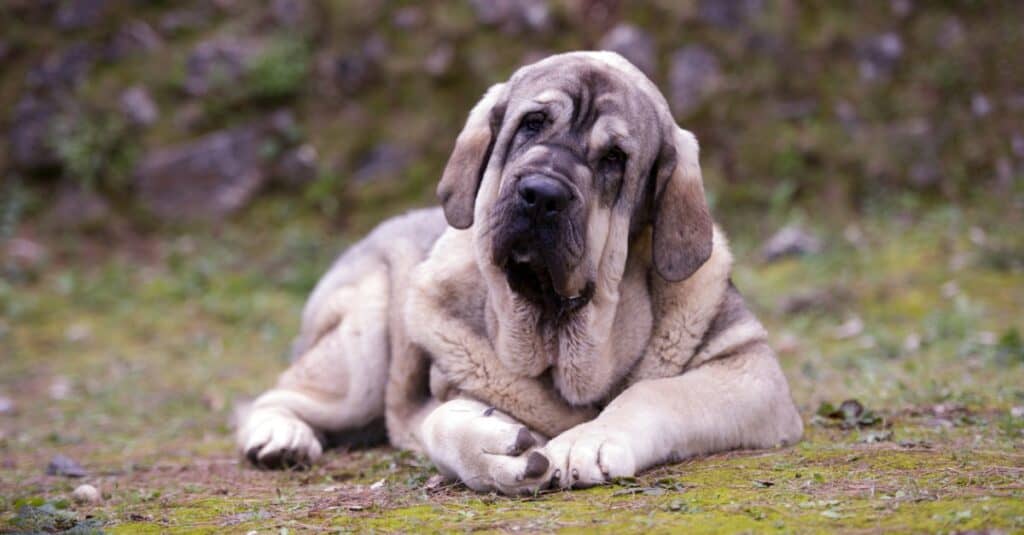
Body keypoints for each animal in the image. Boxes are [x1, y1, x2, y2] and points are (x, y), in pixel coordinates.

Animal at [235, 52, 802, 494]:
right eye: (532, 123)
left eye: (615, 158)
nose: (542, 194)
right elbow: (439, 420)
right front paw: (495, 450)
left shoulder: (751, 369)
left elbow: (656, 392)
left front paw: (589, 440)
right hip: (364, 339)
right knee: (280, 395)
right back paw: (281, 437)